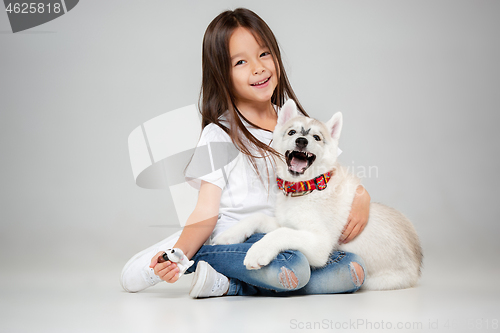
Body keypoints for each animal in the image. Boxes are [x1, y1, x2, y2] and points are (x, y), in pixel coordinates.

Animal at [215, 100, 422, 290]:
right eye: (292, 132)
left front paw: (257, 251)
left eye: (316, 137)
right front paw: (229, 235)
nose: (302, 141)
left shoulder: (320, 244)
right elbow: (258, 217)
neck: (305, 188)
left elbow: (281, 233)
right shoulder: (286, 222)